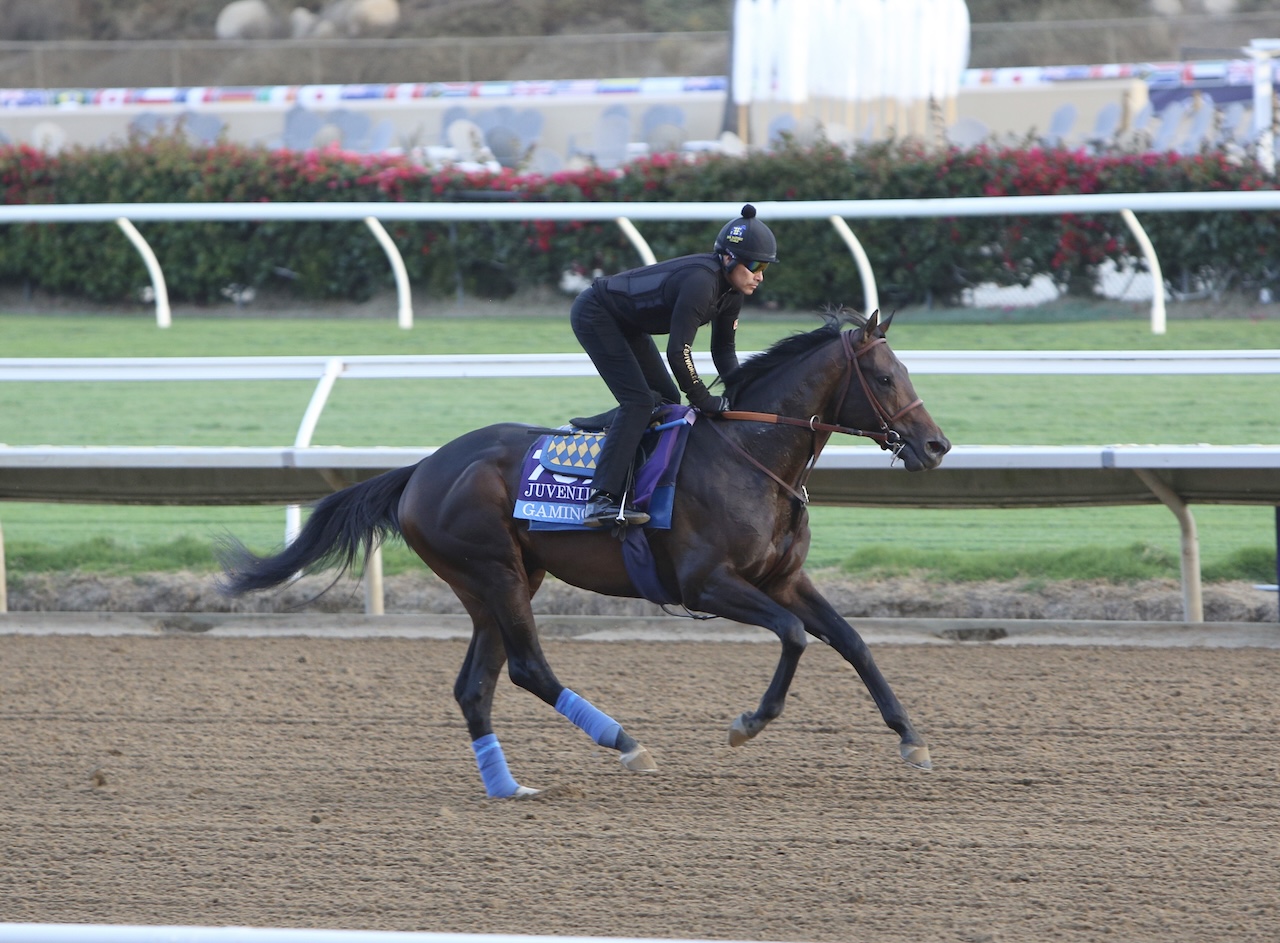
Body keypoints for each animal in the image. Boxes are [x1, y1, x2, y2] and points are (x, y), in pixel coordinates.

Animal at [217, 310, 952, 793]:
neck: (752, 455)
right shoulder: (706, 583)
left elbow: (850, 640)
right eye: (885, 376)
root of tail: (420, 469)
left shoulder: (784, 578)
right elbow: (796, 637)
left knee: (475, 685)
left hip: (497, 584)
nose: (937, 445)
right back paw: (625, 743)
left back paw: (507, 786)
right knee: (528, 669)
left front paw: (912, 740)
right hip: (495, 572)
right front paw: (748, 722)